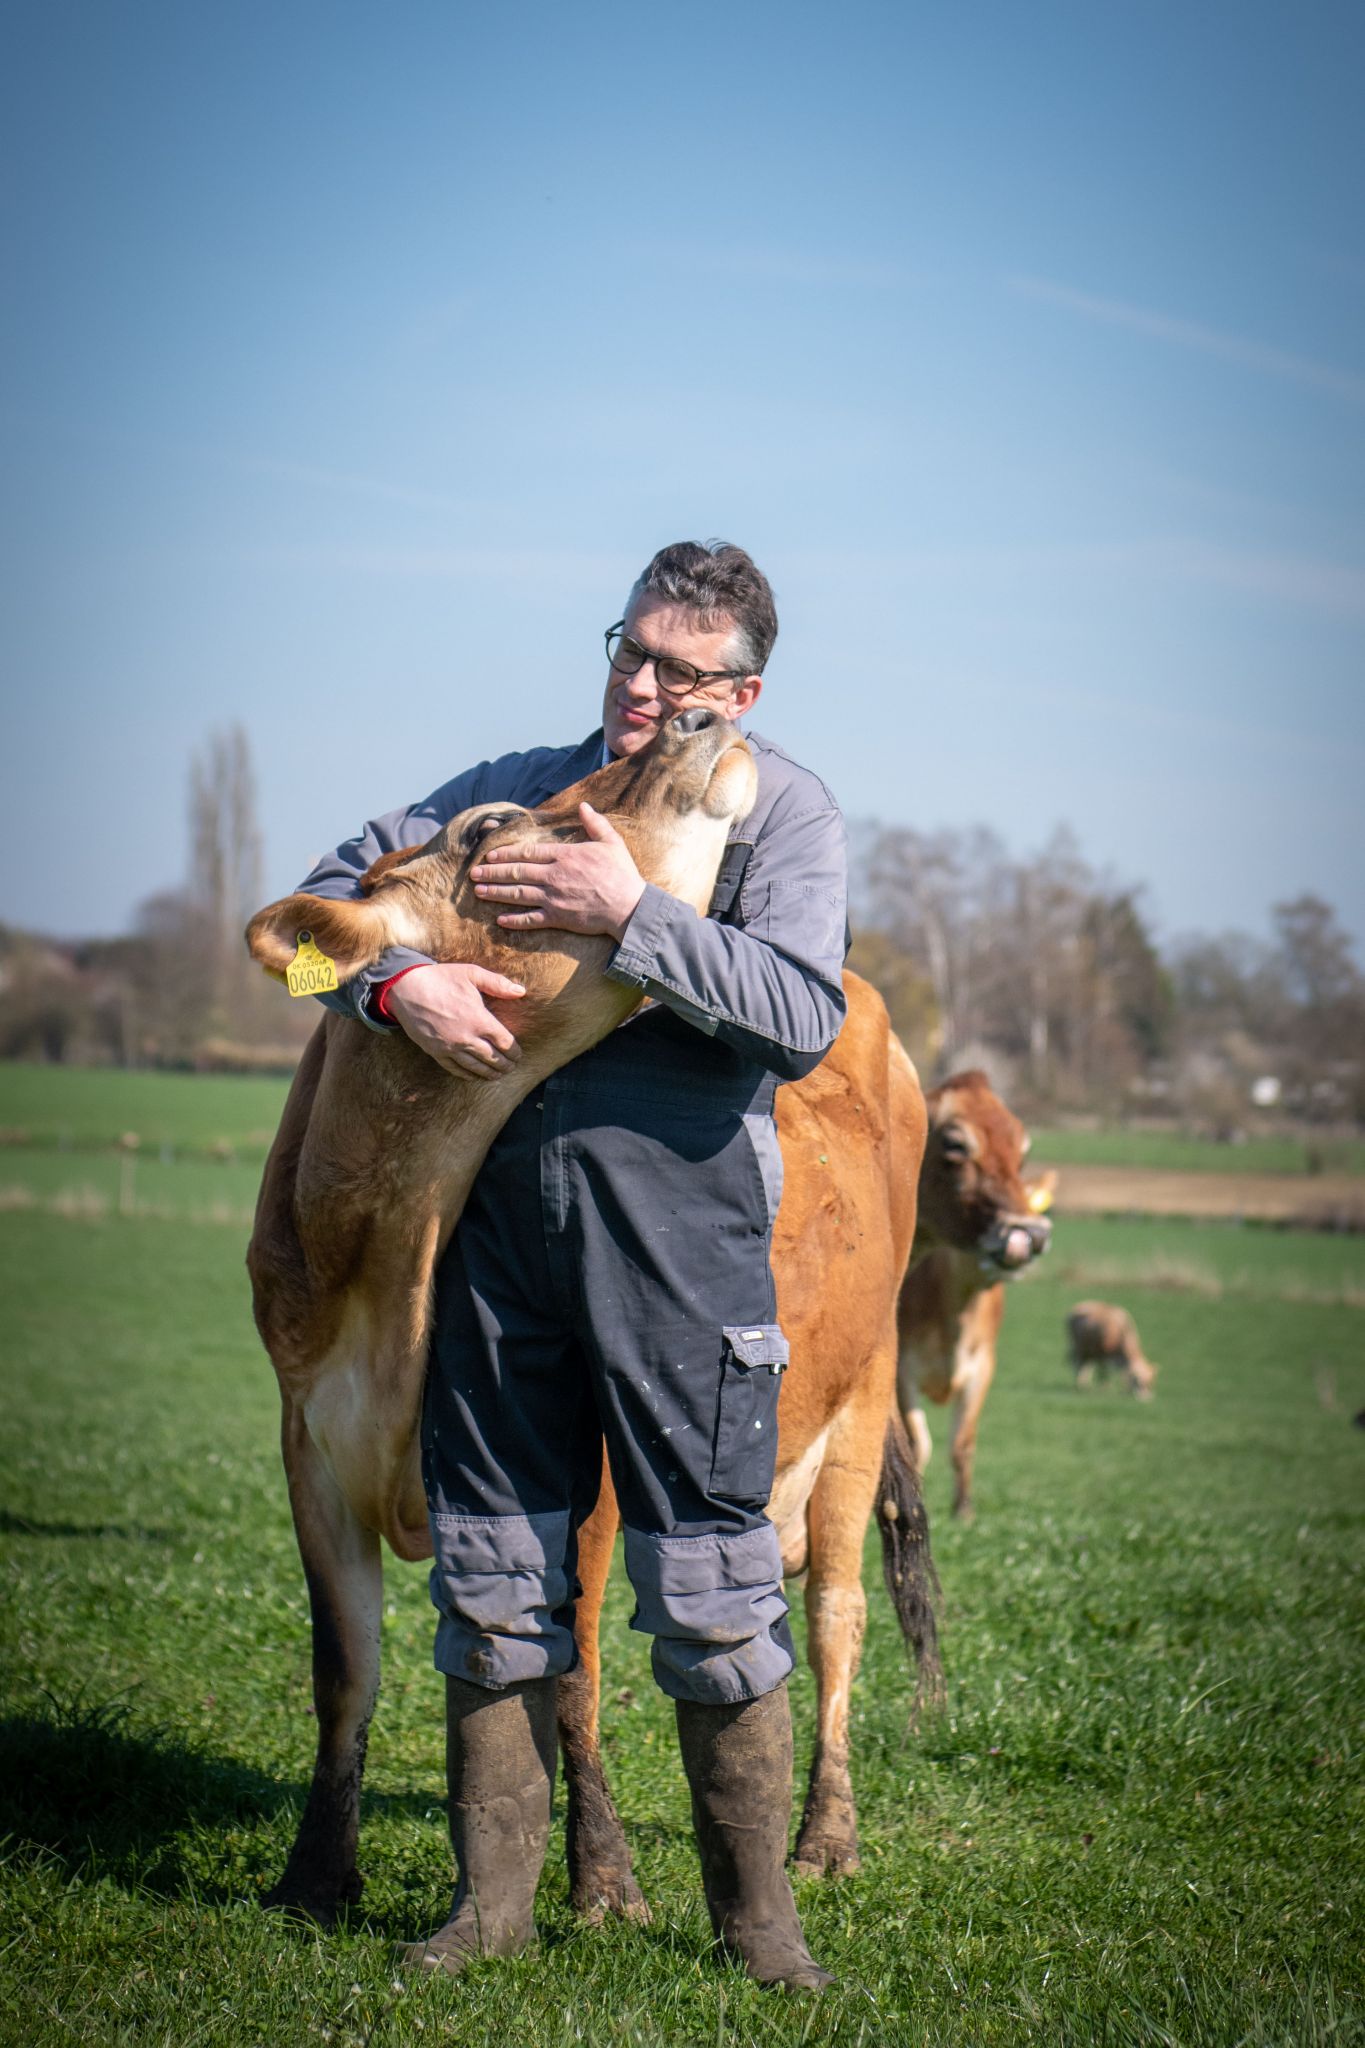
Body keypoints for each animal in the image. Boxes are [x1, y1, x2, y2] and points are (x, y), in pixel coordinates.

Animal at [896, 1073, 1055, 1523]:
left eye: (1022, 1152)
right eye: (955, 1143)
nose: (1031, 1233)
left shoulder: (984, 1365)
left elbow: (962, 1442)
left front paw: (963, 1511)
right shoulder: (900, 1367)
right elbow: (917, 1443)